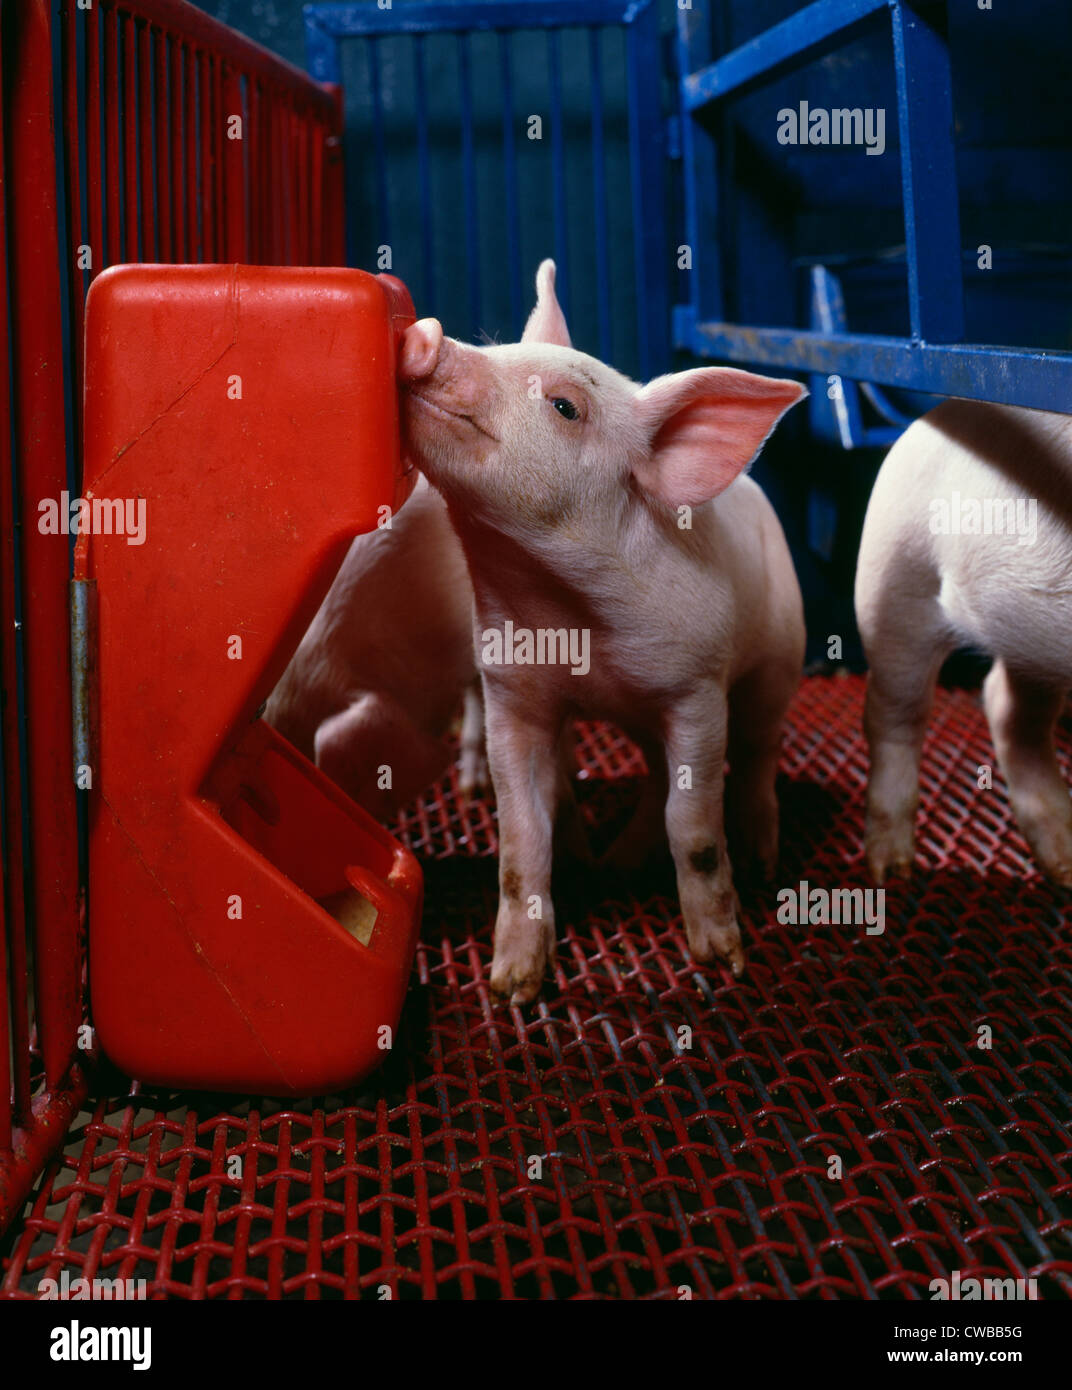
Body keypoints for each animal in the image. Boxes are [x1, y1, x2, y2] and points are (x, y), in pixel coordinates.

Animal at [398, 259, 807, 1002]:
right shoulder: (512, 694)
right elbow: (522, 833)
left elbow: (695, 827)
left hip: (776, 663)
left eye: (565, 407)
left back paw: (763, 856)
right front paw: (512, 985)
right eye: (501, 349)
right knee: (654, 772)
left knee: (760, 751)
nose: (427, 332)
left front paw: (721, 960)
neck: (576, 626)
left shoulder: (696, 689)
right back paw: (617, 864)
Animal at [855, 398, 1072, 886]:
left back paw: (1063, 865)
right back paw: (891, 871)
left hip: (1028, 641)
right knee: (894, 713)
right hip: (893, 571)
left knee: (1009, 709)